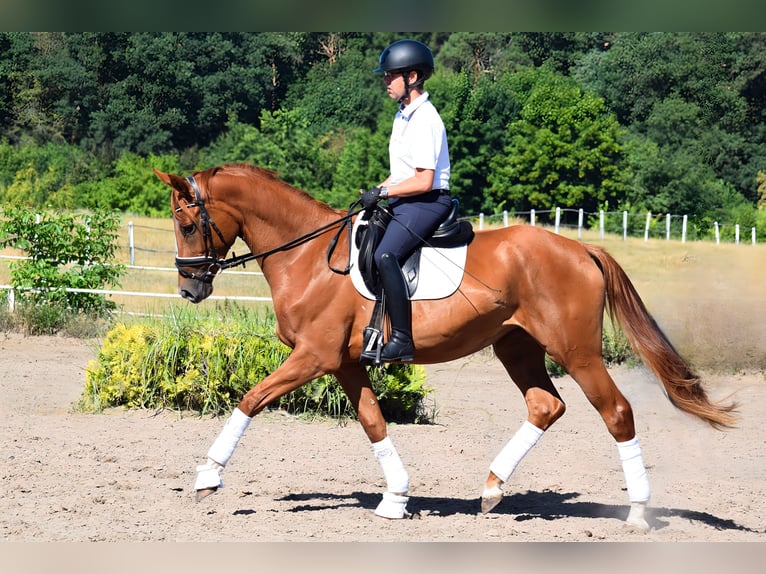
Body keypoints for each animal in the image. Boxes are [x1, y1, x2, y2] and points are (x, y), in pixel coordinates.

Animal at [154, 163, 736, 530]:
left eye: (188, 223)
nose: (188, 289)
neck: (310, 257)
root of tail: (581, 249)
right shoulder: (343, 364)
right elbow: (373, 422)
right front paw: (396, 498)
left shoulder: (313, 358)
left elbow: (251, 398)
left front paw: (208, 476)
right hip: (516, 346)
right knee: (545, 405)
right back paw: (492, 488)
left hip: (577, 353)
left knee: (616, 411)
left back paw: (638, 512)